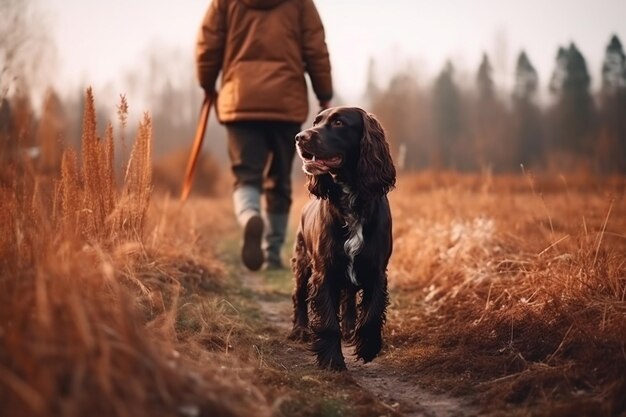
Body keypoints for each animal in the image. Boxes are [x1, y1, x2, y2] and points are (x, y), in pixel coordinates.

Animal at [288, 105, 394, 368]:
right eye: (316, 122)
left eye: (338, 123)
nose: (299, 137)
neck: (352, 198)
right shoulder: (324, 271)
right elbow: (327, 322)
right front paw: (332, 361)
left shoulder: (376, 270)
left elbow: (371, 314)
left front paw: (368, 347)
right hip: (302, 263)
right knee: (299, 296)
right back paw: (300, 330)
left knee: (348, 299)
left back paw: (348, 328)